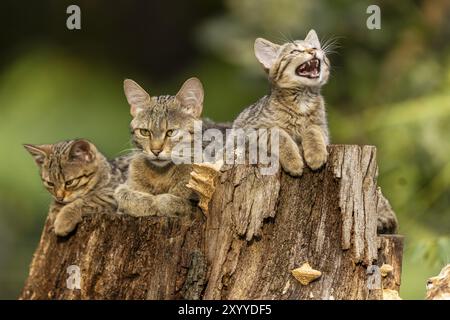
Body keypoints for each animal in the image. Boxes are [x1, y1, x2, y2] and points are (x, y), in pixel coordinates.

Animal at [113, 78, 203, 218]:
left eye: (171, 132)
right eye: (144, 132)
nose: (155, 151)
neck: (160, 175)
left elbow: (173, 201)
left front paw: (158, 202)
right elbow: (123, 195)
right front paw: (147, 202)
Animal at [234, 28, 328, 176]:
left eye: (314, 47)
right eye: (295, 51)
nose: (313, 50)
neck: (302, 98)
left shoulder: (323, 129)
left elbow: (313, 128)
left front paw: (316, 153)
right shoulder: (250, 131)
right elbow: (277, 133)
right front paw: (293, 161)